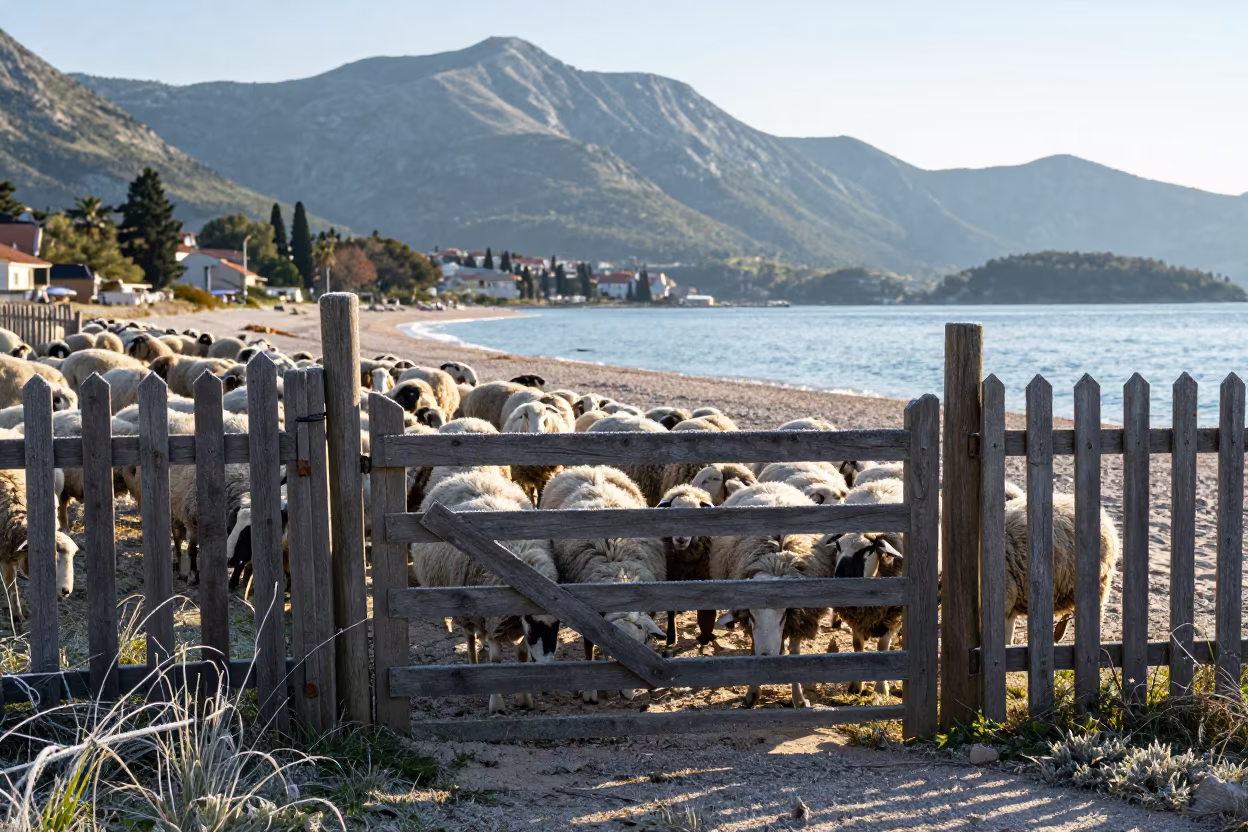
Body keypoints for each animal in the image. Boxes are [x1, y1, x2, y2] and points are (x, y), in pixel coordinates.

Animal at [411, 470, 560, 715]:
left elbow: (521, 655)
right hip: (466, 605)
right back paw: (473, 663)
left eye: (559, 624)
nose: (546, 665)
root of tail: (467, 475)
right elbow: (497, 660)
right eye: (531, 620)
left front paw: (525, 698)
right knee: (469, 635)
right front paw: (497, 704)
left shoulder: (512, 623)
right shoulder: (494, 618)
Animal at [655, 483, 716, 648]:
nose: (680, 539)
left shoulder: (705, 575)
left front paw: (705, 636)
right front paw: (671, 638)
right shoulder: (671, 577)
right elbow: (671, 611)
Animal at [709, 482, 829, 708]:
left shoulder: (799, 619)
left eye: (783, 615)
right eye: (752, 615)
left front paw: (799, 699)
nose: (767, 655)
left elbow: (795, 652)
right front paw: (752, 693)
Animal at [818, 532, 906, 697]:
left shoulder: (894, 615)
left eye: (868, 550)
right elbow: (857, 645)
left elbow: (882, 647)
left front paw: (881, 689)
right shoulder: (857, 617)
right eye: (838, 546)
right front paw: (856, 687)